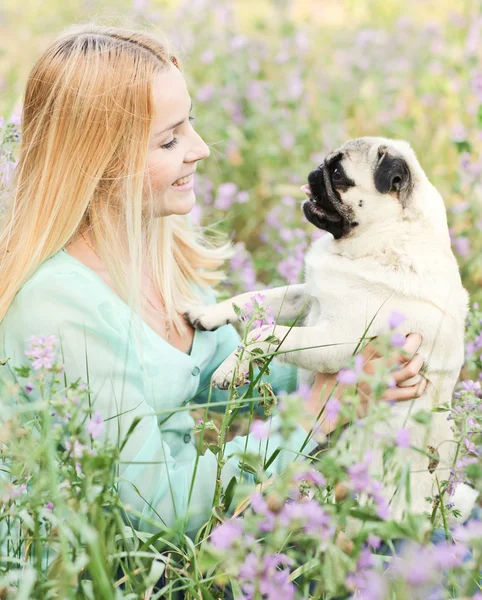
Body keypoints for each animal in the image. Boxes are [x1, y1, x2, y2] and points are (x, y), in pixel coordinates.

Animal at [185, 138, 478, 524]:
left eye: (338, 174)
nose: (315, 171)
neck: (381, 241)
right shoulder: (308, 295)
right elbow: (252, 300)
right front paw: (207, 313)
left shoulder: (335, 341)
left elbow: (266, 334)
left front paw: (229, 367)